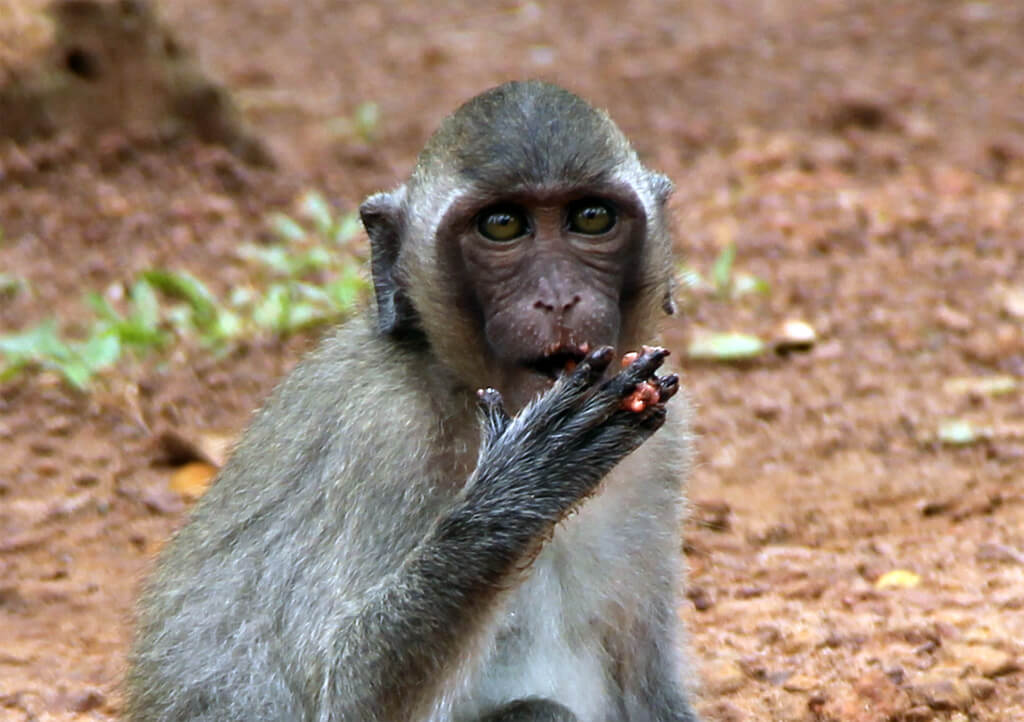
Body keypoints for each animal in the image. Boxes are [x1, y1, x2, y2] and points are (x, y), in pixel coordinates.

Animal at [125, 80, 704, 720]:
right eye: (503, 226)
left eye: (592, 218)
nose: (558, 298)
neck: (469, 391)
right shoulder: (383, 430)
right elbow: (345, 694)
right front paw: (521, 490)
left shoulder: (664, 440)